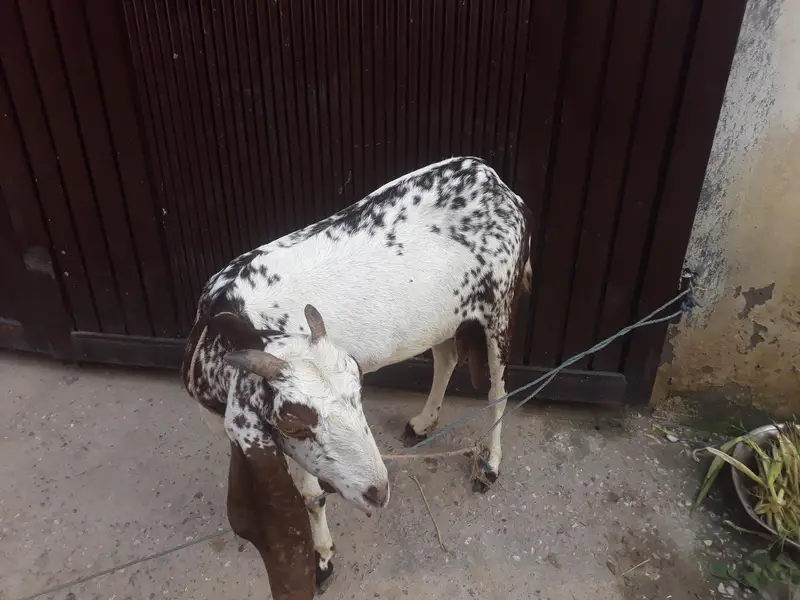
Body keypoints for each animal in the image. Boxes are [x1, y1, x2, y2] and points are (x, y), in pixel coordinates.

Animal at [182, 156, 532, 595]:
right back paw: (422, 422)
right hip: (442, 318)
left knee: (498, 390)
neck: (222, 325)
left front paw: (321, 563)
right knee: (447, 356)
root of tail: (497, 184)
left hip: (500, 309)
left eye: (360, 388)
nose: (378, 491)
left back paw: (488, 466)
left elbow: (311, 497)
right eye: (292, 422)